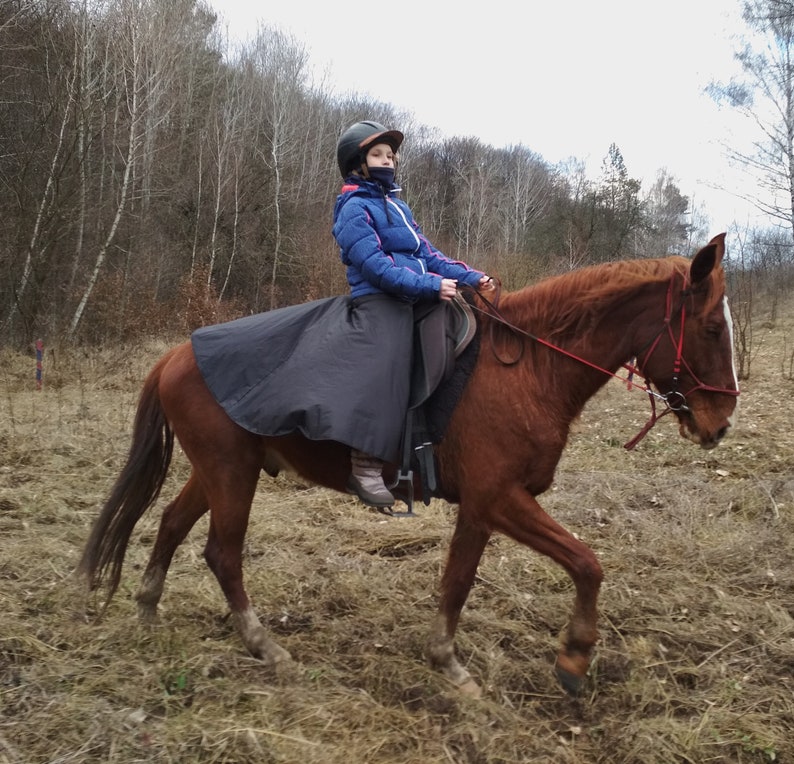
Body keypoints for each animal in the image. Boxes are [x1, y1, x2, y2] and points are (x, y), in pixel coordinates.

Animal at [78, 233, 739, 698]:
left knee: (171, 523)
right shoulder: (495, 500)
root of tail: (176, 354)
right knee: (222, 552)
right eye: (711, 328)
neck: (526, 370)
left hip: (218, 471)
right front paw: (559, 657)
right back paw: (263, 645)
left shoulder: (489, 505)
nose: (720, 424)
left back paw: (147, 610)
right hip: (230, 474)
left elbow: (478, 578)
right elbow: (576, 564)